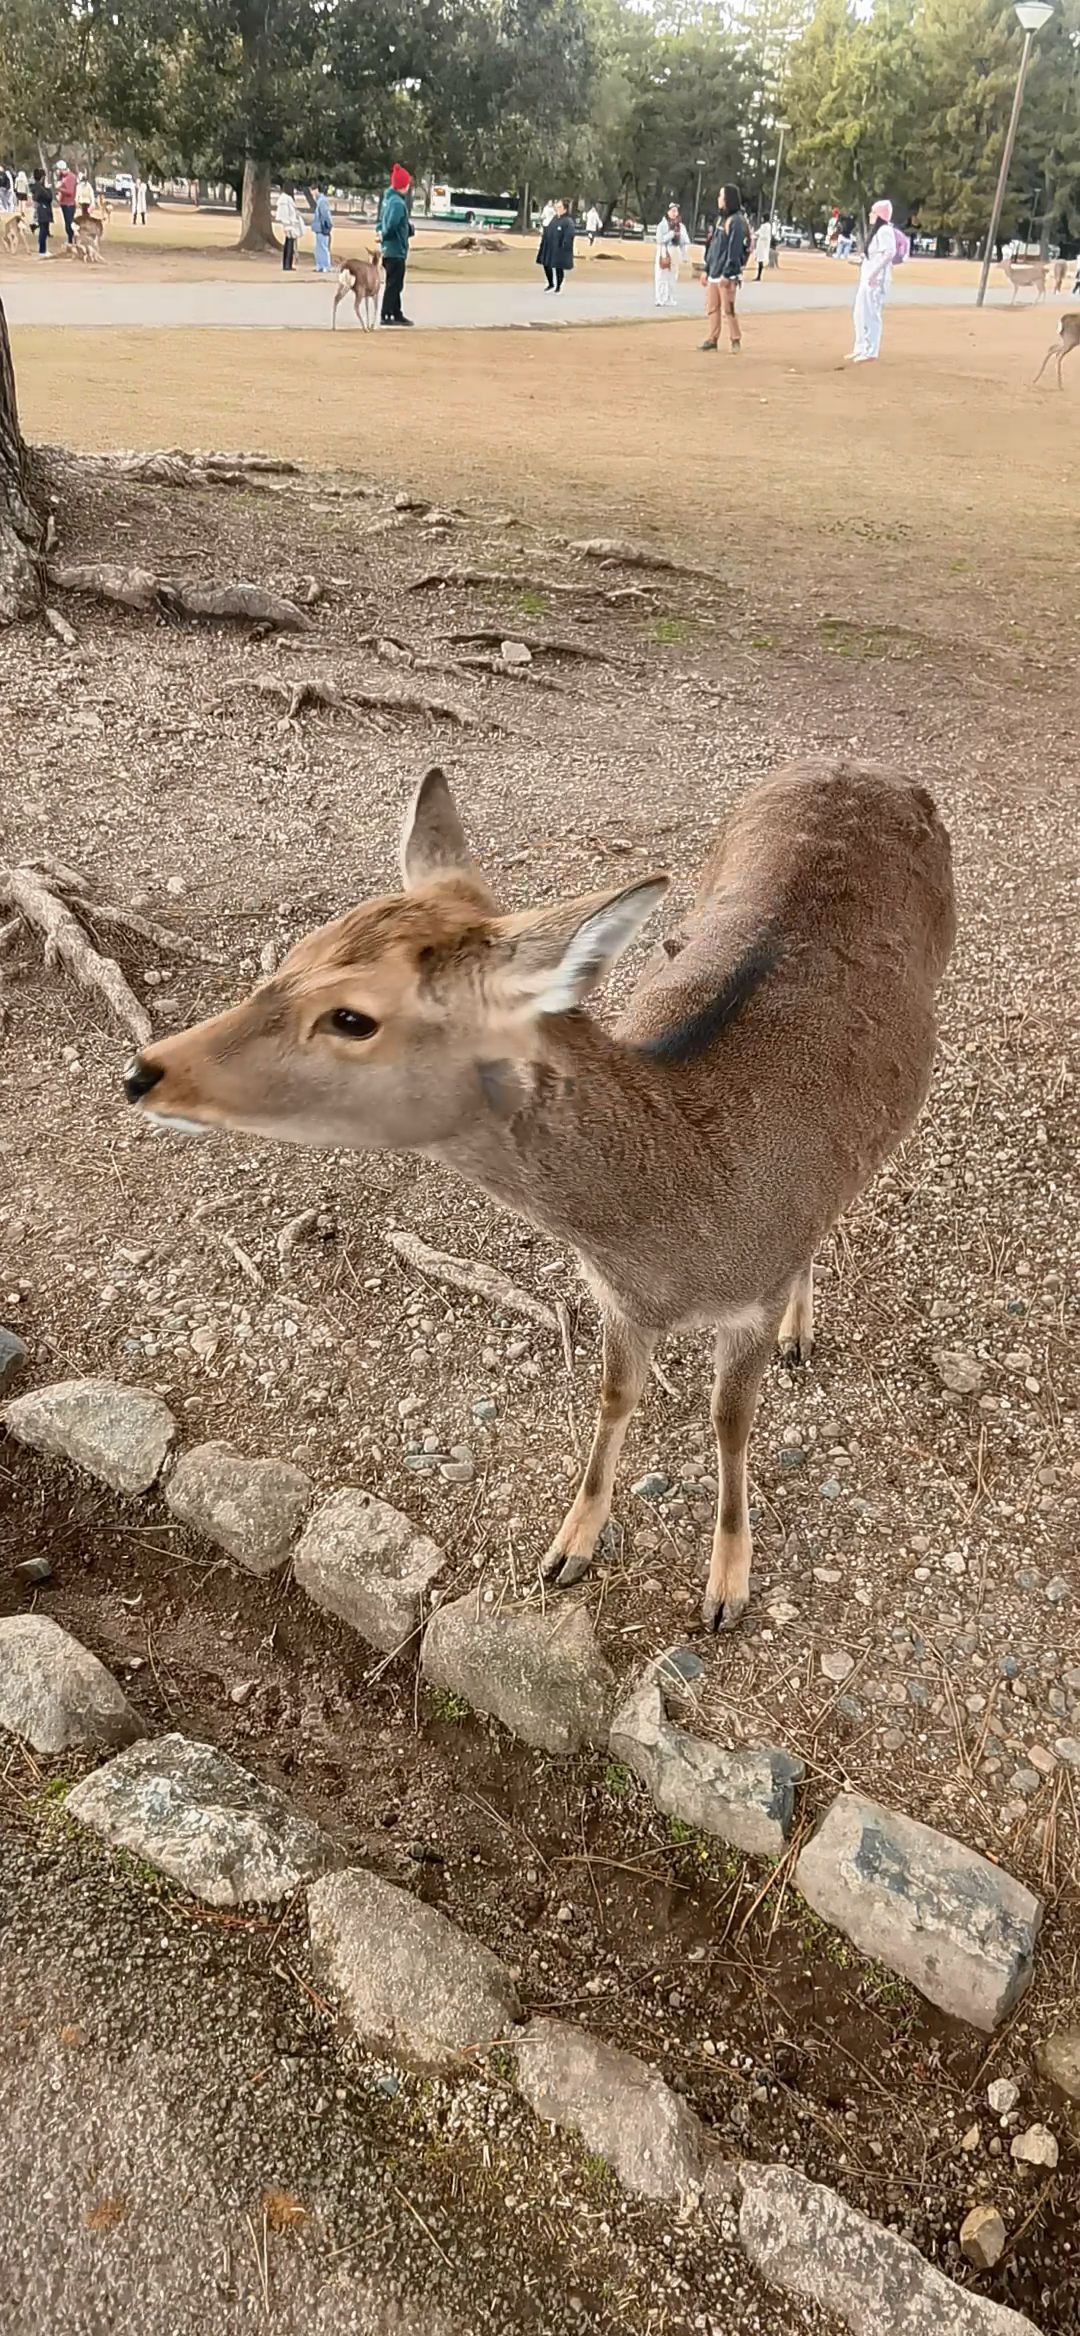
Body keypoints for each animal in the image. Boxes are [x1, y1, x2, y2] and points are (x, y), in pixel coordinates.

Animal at [124, 756, 953, 1635]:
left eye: (352, 1017)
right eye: (294, 952)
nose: (144, 1071)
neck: (682, 1234)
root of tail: (868, 767)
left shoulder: (748, 1301)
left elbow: (730, 1424)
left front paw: (727, 1587)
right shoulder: (616, 1299)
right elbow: (615, 1395)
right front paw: (569, 1546)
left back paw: (803, 1330)